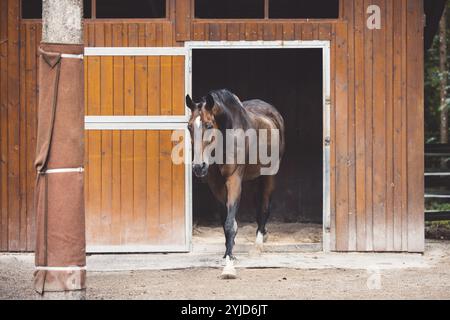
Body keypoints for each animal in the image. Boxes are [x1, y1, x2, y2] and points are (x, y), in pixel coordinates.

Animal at [186, 88, 284, 278]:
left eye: (209, 125)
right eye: (189, 126)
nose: (198, 167)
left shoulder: (234, 179)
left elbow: (230, 223)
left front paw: (229, 267)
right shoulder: (216, 185)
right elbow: (225, 221)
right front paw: (227, 254)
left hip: (270, 174)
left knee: (264, 207)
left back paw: (258, 246)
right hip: (253, 177)